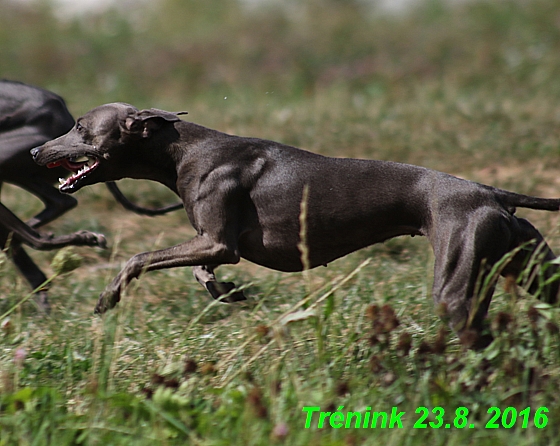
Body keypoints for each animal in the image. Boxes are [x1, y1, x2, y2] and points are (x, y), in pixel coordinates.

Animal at [31, 102, 560, 344]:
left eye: (80, 126)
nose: (36, 151)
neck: (182, 149)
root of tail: (492, 193)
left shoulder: (218, 242)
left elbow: (139, 257)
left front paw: (107, 299)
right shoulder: (211, 243)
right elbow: (201, 272)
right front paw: (228, 293)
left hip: (455, 288)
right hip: (531, 266)